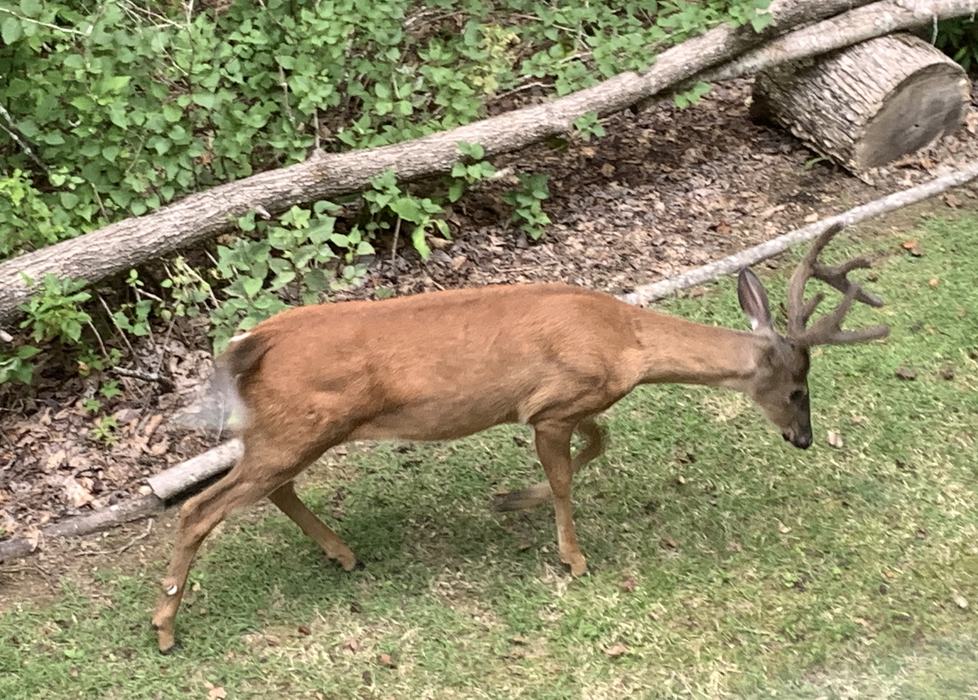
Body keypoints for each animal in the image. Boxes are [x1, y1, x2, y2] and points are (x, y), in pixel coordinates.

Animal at [152, 222, 888, 653]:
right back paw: (165, 628)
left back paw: (344, 555)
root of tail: (250, 344)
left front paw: (508, 499)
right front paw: (574, 558)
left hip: (287, 432)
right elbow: (568, 476)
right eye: (798, 390)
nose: (803, 439)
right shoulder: (554, 402)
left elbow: (599, 443)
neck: (626, 342)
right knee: (199, 510)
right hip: (298, 427)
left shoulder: (568, 404)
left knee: (271, 491)